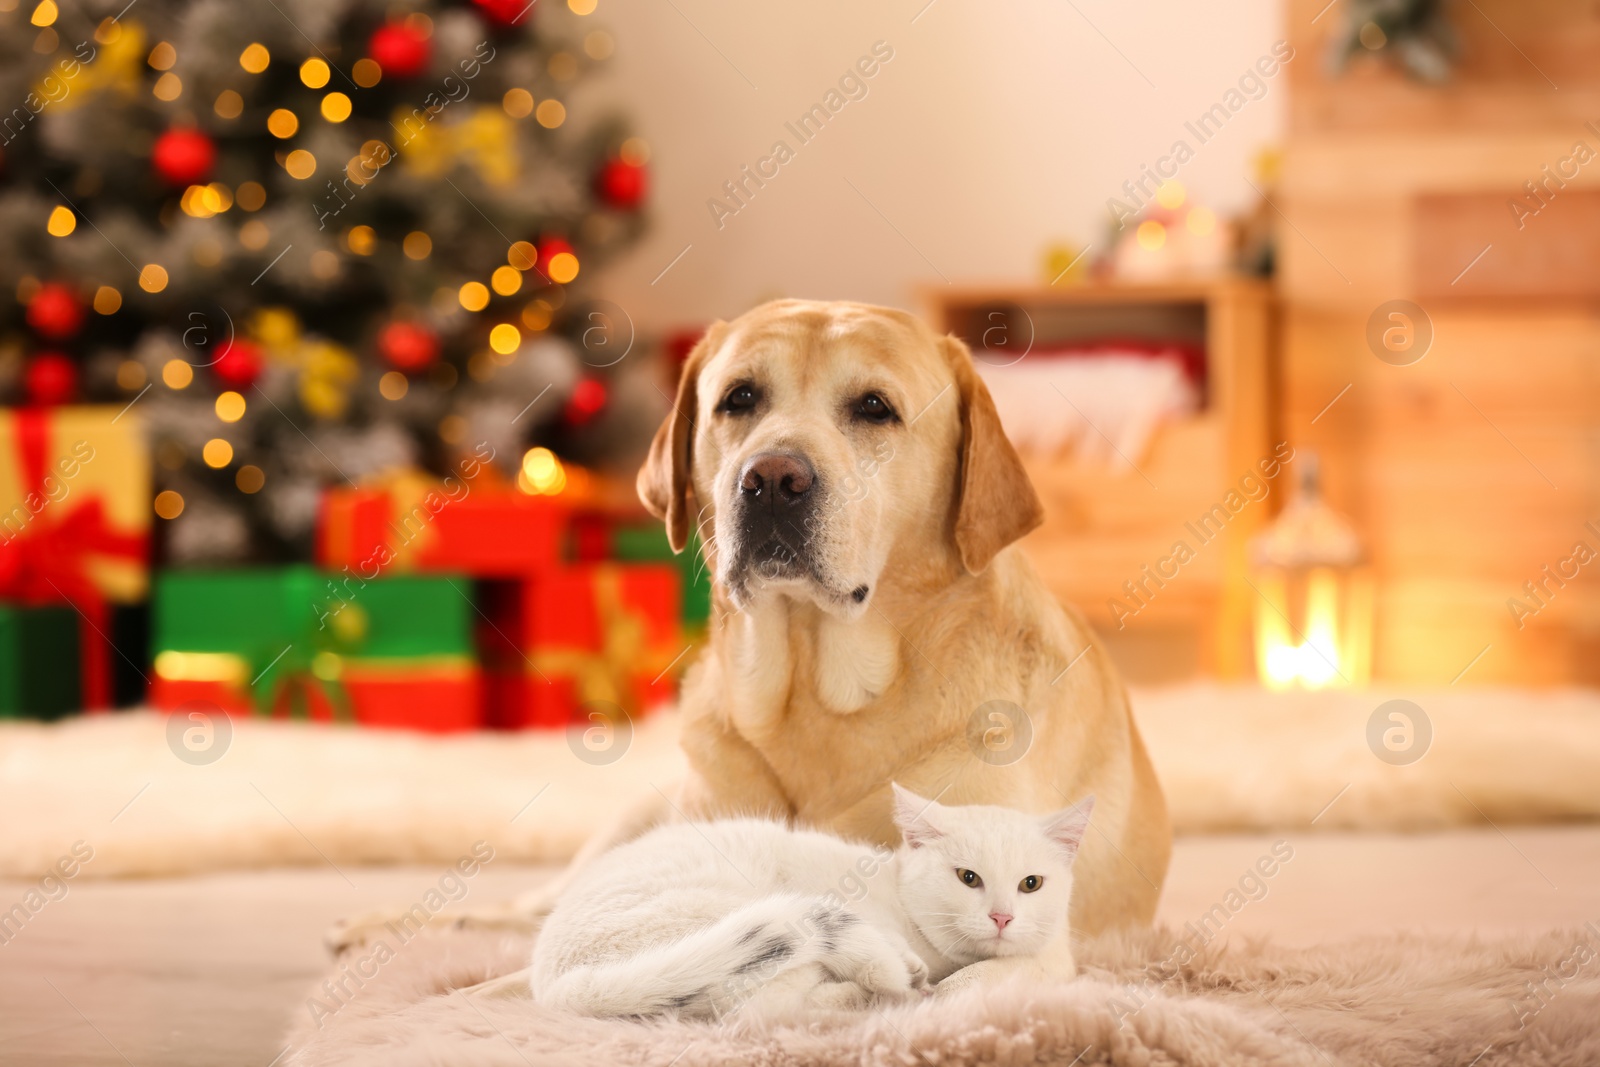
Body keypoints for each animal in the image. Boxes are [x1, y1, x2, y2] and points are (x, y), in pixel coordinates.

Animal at [531, 783, 1094, 1017]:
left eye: (1031, 884)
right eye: (968, 877)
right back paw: (887, 985)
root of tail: (557, 984)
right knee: (756, 1003)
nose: (1002, 917)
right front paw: (913, 976)